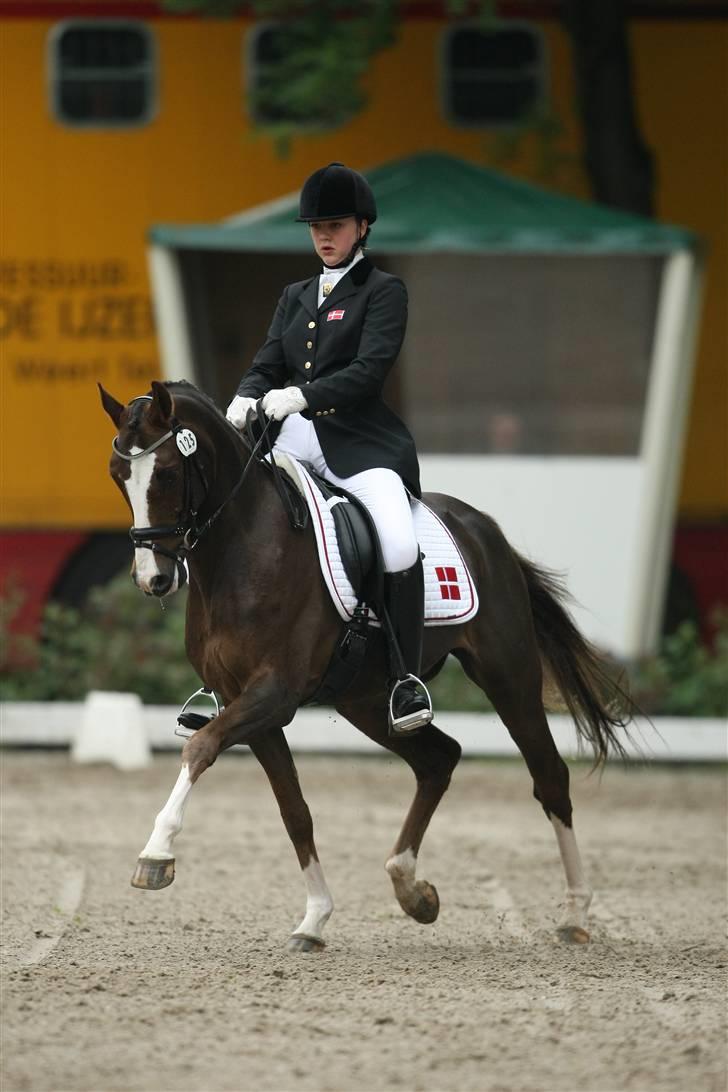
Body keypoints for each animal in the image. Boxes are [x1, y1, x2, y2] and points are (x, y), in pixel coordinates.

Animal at [99, 380, 633, 952]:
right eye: (117, 475)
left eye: (167, 473)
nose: (152, 579)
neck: (243, 551)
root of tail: (487, 531)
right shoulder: (251, 707)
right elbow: (294, 811)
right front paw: (314, 919)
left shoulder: (273, 694)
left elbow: (199, 747)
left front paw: (156, 854)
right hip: (367, 700)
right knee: (438, 758)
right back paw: (412, 889)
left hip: (507, 676)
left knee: (549, 776)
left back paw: (574, 914)